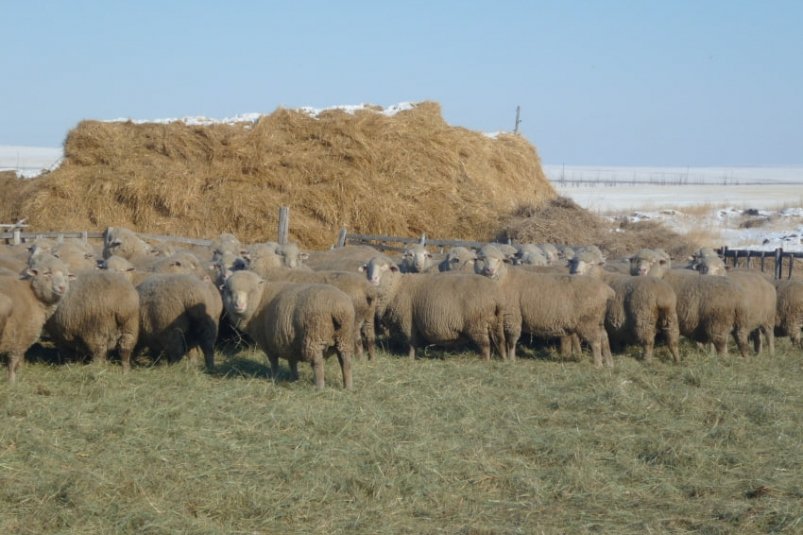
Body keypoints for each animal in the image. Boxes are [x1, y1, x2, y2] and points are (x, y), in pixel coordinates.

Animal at [0, 254, 74, 382]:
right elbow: (14, 361)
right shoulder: (21, 335)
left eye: (66, 275)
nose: (62, 287)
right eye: (47, 273)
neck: (33, 295)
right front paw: (12, 381)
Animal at [223, 272, 354, 390]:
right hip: (344, 336)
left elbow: (274, 363)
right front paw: (294, 379)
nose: (238, 305)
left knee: (317, 363)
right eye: (230, 292)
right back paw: (347, 386)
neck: (260, 298)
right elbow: (292, 362)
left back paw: (319, 387)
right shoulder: (289, 342)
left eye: (251, 291)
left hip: (314, 336)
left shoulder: (269, 344)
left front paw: (274, 378)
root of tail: (338, 307)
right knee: (345, 361)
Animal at [360, 258, 508, 362]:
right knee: (500, 340)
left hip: (476, 323)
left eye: (384, 268)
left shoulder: (407, 320)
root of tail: (496, 296)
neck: (396, 287)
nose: (372, 279)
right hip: (496, 321)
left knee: (485, 344)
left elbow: (411, 342)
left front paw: (410, 358)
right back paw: (504, 359)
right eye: (368, 269)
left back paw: (485, 361)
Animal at [472, 245, 616, 366]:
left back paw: (598, 364)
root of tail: (607, 290)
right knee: (604, 337)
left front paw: (511, 359)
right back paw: (609, 363)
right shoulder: (500, 317)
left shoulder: (513, 315)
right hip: (597, 320)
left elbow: (512, 339)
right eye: (481, 259)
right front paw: (503, 357)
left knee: (596, 341)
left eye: (498, 260)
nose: (489, 270)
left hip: (588, 321)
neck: (503, 279)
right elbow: (500, 338)